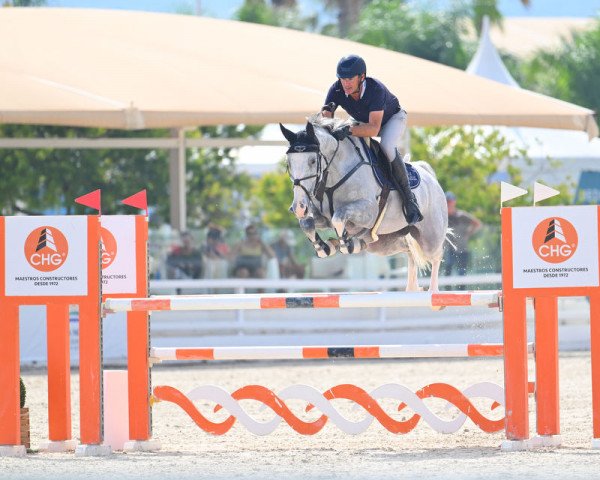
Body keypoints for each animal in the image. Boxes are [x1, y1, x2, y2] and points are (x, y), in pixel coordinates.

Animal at [278, 115, 448, 292]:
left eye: (312, 161)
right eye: (288, 163)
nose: (298, 207)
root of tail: (429, 175)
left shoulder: (368, 212)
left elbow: (338, 217)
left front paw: (345, 244)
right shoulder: (322, 217)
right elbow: (307, 223)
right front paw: (325, 247)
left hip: (430, 237)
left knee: (436, 256)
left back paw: (433, 291)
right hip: (386, 243)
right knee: (409, 251)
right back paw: (410, 288)